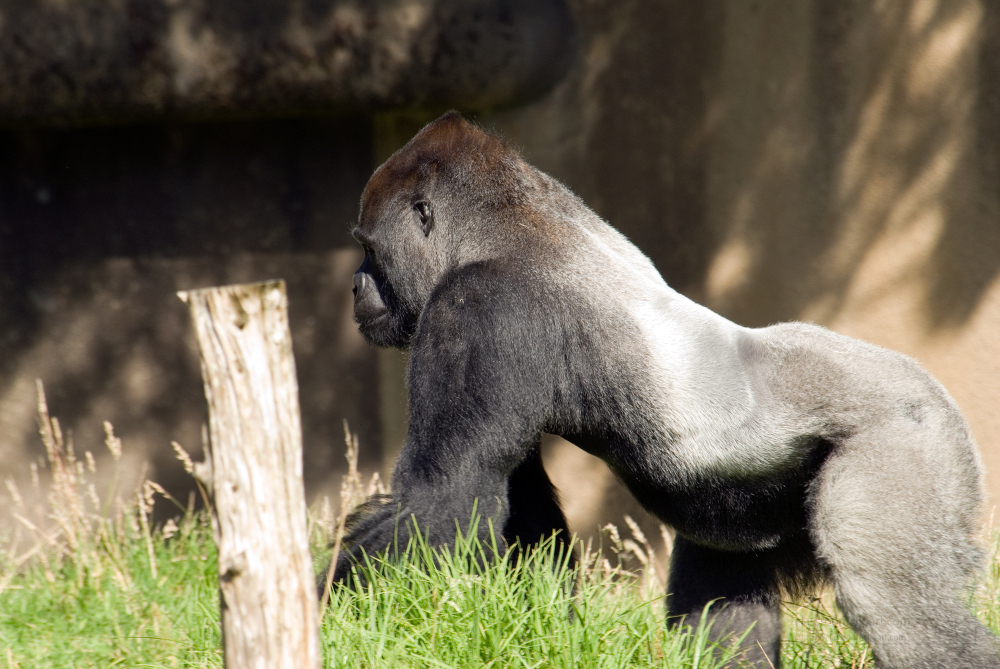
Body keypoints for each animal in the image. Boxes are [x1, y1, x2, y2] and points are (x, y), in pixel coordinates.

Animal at [338, 112, 1000, 664]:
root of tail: (935, 393)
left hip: (909, 439)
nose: (353, 287)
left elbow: (443, 499)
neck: (506, 226)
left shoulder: (474, 307)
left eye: (369, 248)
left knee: (896, 612)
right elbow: (512, 505)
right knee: (724, 602)